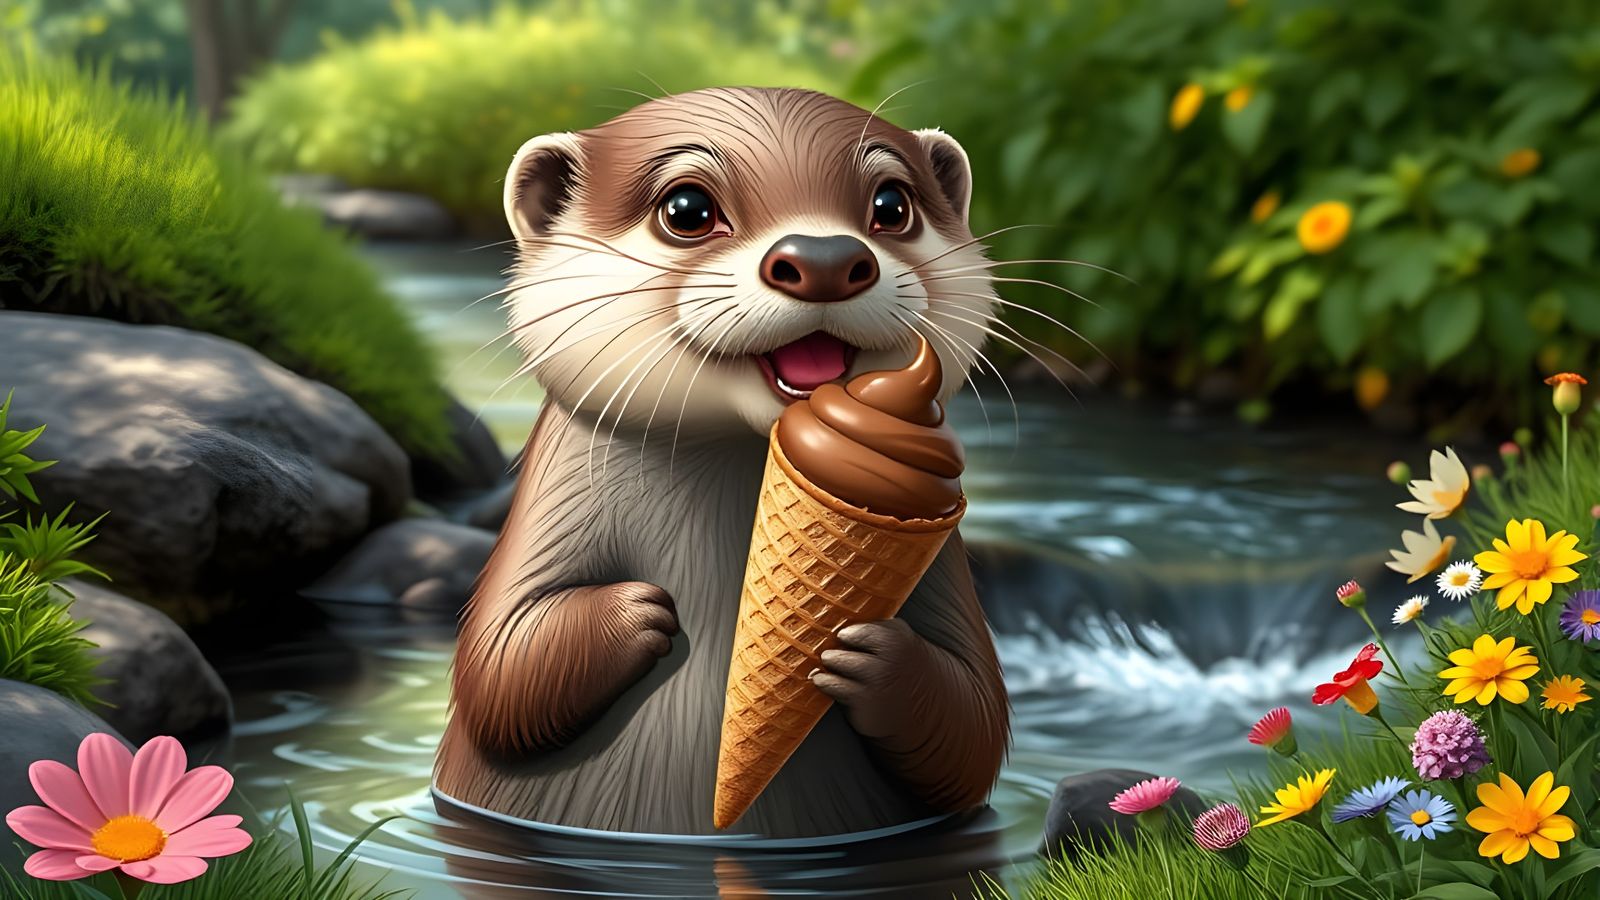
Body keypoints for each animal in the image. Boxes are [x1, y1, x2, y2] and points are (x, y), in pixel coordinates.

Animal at [433, 87, 1009, 838]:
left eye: (891, 204)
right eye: (687, 209)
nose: (825, 258)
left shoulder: (942, 560)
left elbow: (975, 724)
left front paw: (873, 657)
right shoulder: (547, 514)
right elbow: (498, 667)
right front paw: (637, 612)